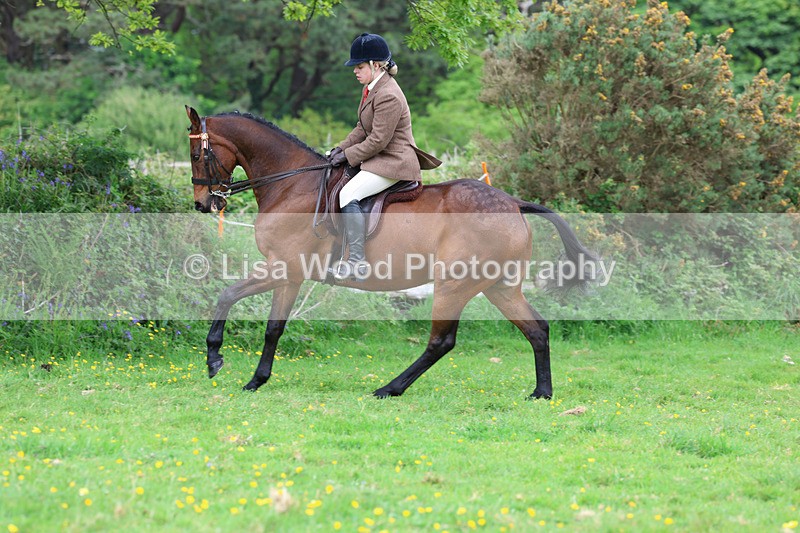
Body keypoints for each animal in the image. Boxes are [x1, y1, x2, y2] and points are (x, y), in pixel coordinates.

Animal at [185, 105, 596, 400]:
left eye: (196, 154)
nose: (204, 204)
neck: (291, 184)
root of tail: (513, 203)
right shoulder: (290, 274)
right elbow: (274, 327)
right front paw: (256, 380)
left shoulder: (282, 267)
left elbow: (229, 295)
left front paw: (215, 358)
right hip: (499, 287)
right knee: (538, 329)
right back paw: (541, 392)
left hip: (454, 285)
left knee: (441, 342)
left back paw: (389, 388)